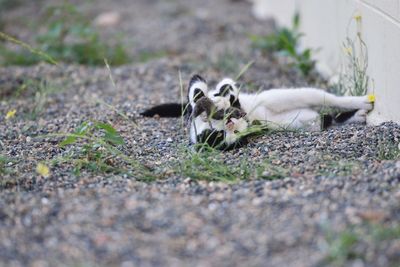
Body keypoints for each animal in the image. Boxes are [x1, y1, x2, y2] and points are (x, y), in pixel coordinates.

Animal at [142, 75, 374, 151]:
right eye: (220, 137)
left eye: (217, 121)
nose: (229, 122)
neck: (252, 118)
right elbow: (327, 119)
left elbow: (329, 98)